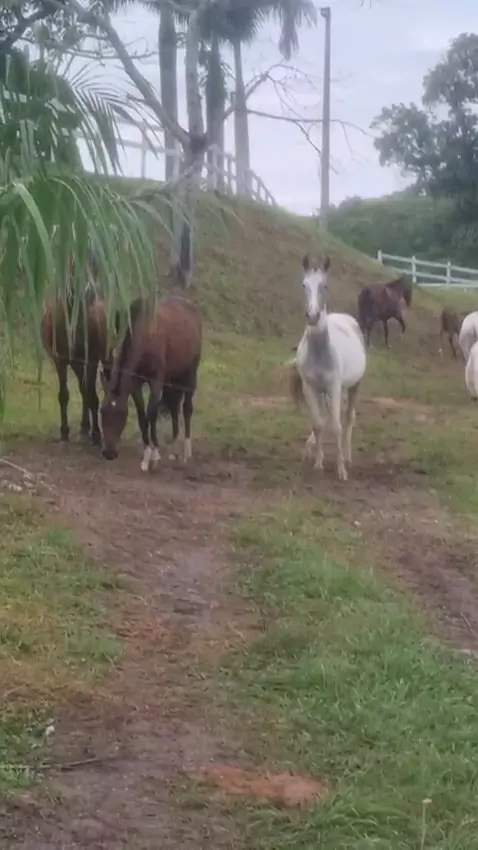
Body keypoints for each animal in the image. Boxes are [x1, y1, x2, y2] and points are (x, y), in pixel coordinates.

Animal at [41, 264, 110, 445]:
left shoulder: (92, 358)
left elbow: (91, 393)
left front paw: (96, 433)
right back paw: (84, 427)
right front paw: (65, 432)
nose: (90, 292)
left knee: (87, 388)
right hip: (75, 362)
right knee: (82, 386)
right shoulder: (60, 359)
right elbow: (65, 395)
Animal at [100, 293, 202, 471]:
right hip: (172, 377)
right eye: (102, 412)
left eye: (121, 414)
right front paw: (148, 452)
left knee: (187, 408)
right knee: (174, 407)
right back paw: (174, 448)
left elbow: (152, 413)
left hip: (190, 373)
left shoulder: (155, 381)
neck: (143, 333)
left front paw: (153, 456)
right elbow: (142, 415)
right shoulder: (134, 384)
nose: (109, 453)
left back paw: (186, 452)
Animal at [290, 254, 367, 481]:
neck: (320, 351)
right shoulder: (310, 388)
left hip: (353, 386)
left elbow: (337, 426)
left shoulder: (334, 386)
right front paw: (318, 463)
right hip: (327, 392)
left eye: (324, 285)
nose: (313, 316)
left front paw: (341, 470)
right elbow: (318, 424)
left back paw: (348, 458)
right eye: (304, 284)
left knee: (348, 419)